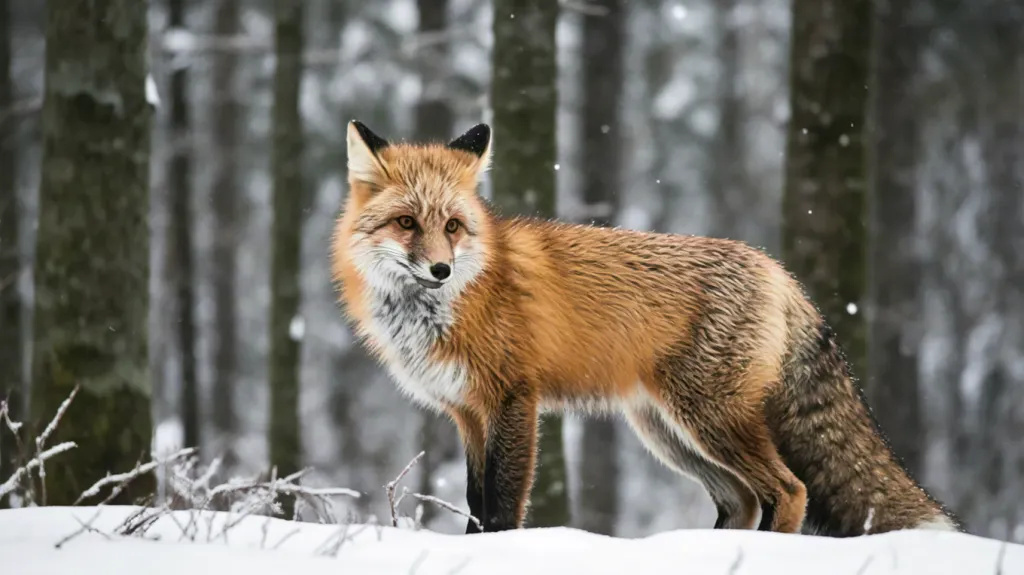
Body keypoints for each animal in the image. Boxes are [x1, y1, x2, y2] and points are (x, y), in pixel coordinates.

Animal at [329, 119, 962, 537]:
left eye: (454, 227)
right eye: (407, 223)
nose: (440, 269)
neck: (446, 307)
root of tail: (777, 269)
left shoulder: (512, 400)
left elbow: (502, 504)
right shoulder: (466, 412)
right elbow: (474, 500)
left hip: (709, 418)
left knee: (788, 490)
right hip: (668, 431)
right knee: (741, 500)